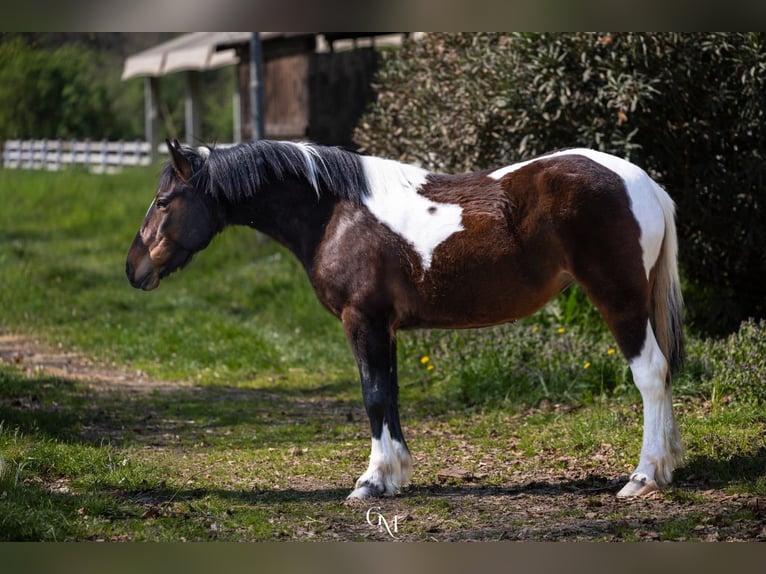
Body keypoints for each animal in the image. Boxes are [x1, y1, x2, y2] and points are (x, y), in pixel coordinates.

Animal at [126, 139, 685, 499]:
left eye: (163, 200)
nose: (134, 268)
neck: (337, 213)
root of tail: (643, 184)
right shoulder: (385, 327)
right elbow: (389, 396)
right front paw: (393, 476)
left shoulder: (363, 321)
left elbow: (374, 396)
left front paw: (371, 482)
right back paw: (666, 467)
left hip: (619, 299)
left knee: (650, 375)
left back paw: (641, 477)